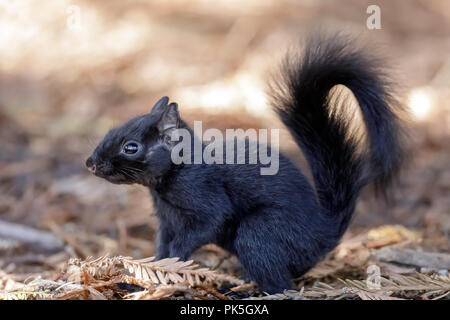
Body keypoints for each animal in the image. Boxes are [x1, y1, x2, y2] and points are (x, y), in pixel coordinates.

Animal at [86, 33, 406, 294]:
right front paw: (145, 276)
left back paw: (241, 291)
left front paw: (174, 264)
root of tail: (323, 234)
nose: (91, 164)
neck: (174, 175)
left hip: (259, 233)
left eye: (131, 147)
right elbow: (161, 248)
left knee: (280, 284)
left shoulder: (204, 196)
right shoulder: (166, 220)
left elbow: (205, 225)